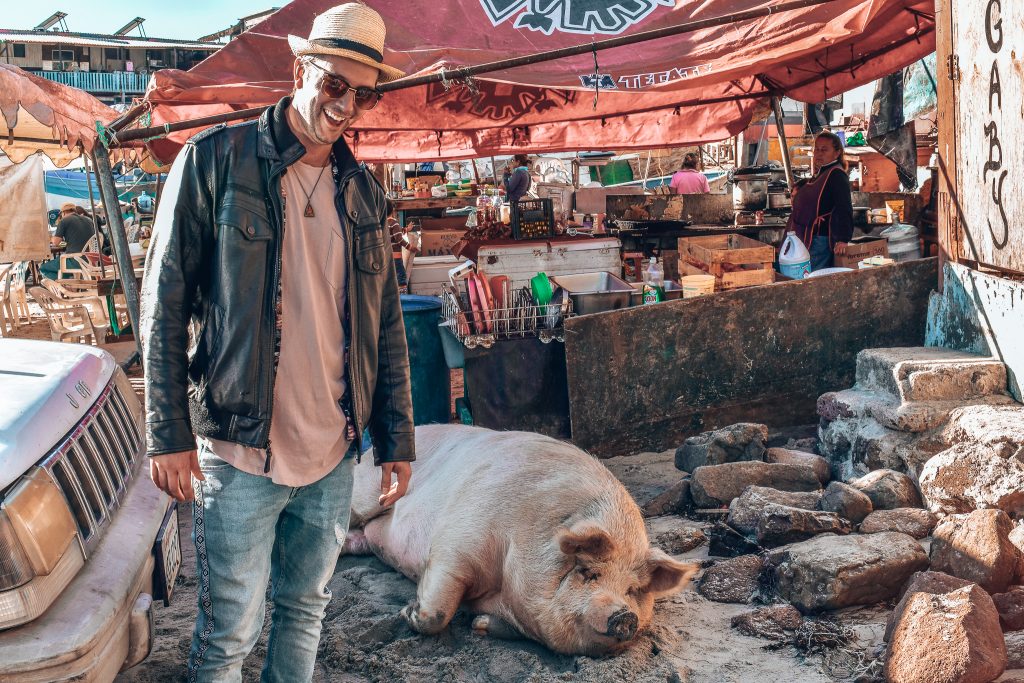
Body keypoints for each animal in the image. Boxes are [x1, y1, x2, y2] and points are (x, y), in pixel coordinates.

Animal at [348, 423, 700, 655]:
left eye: (632, 591)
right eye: (587, 572)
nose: (624, 616)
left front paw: (478, 625)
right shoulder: (459, 536)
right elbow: (438, 608)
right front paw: (406, 612)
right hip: (367, 492)